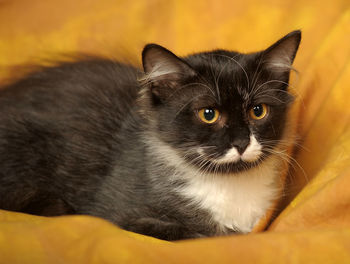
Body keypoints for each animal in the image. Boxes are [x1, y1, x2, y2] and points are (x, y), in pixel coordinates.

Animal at [0, 29, 300, 240]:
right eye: (208, 114)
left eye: (258, 111)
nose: (240, 142)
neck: (227, 184)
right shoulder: (112, 214)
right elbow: (193, 232)